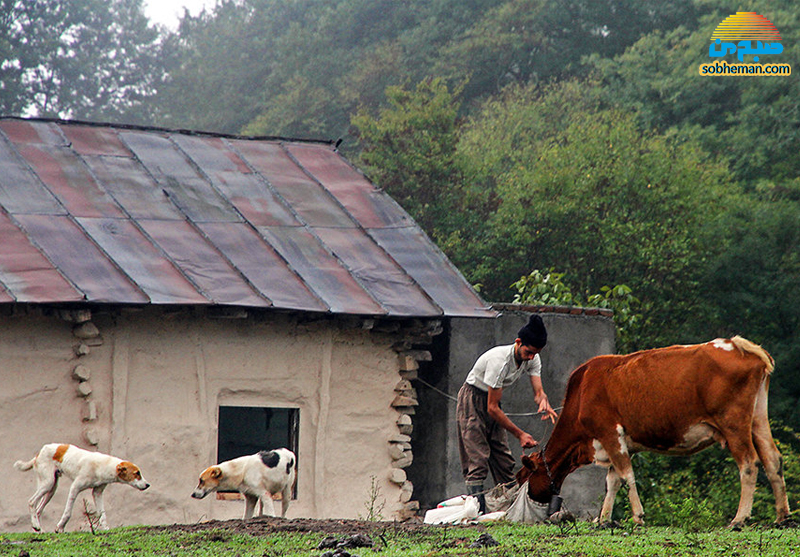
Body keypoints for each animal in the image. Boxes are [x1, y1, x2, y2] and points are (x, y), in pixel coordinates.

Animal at [14, 444, 151, 528]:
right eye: (137, 473)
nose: (147, 485)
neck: (102, 466)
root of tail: (39, 452)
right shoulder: (75, 488)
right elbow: (68, 512)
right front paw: (60, 528)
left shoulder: (97, 493)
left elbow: (102, 515)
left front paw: (106, 529)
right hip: (47, 484)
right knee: (32, 502)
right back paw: (36, 526)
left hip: (52, 489)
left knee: (38, 511)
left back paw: (39, 530)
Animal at [520, 334, 788, 524]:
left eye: (525, 477)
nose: (531, 498)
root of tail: (737, 344)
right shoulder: (619, 442)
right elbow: (613, 480)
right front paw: (603, 519)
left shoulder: (610, 433)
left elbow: (626, 476)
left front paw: (637, 516)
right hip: (758, 419)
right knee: (773, 459)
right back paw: (782, 517)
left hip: (733, 424)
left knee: (749, 464)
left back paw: (739, 519)